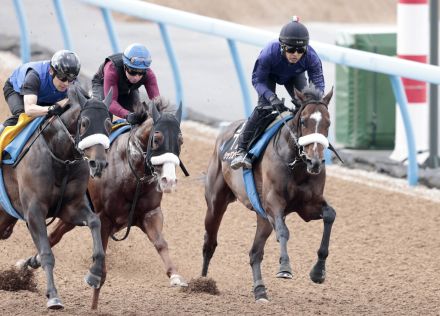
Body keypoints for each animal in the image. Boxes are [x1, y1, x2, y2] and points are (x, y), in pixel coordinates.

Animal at [0, 85, 112, 310]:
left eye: (109, 124)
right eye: (85, 123)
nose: (98, 164)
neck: (61, 157)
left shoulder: (71, 207)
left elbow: (95, 222)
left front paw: (95, 274)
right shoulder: (34, 211)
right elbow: (46, 253)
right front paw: (53, 296)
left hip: (5, 217)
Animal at [203, 86, 336, 302]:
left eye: (328, 123)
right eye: (304, 121)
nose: (315, 162)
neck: (296, 165)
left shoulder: (308, 206)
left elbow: (330, 215)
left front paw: (318, 272)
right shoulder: (274, 203)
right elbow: (283, 231)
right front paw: (285, 268)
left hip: (262, 217)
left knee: (254, 253)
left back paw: (260, 290)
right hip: (216, 202)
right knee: (210, 241)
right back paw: (202, 282)